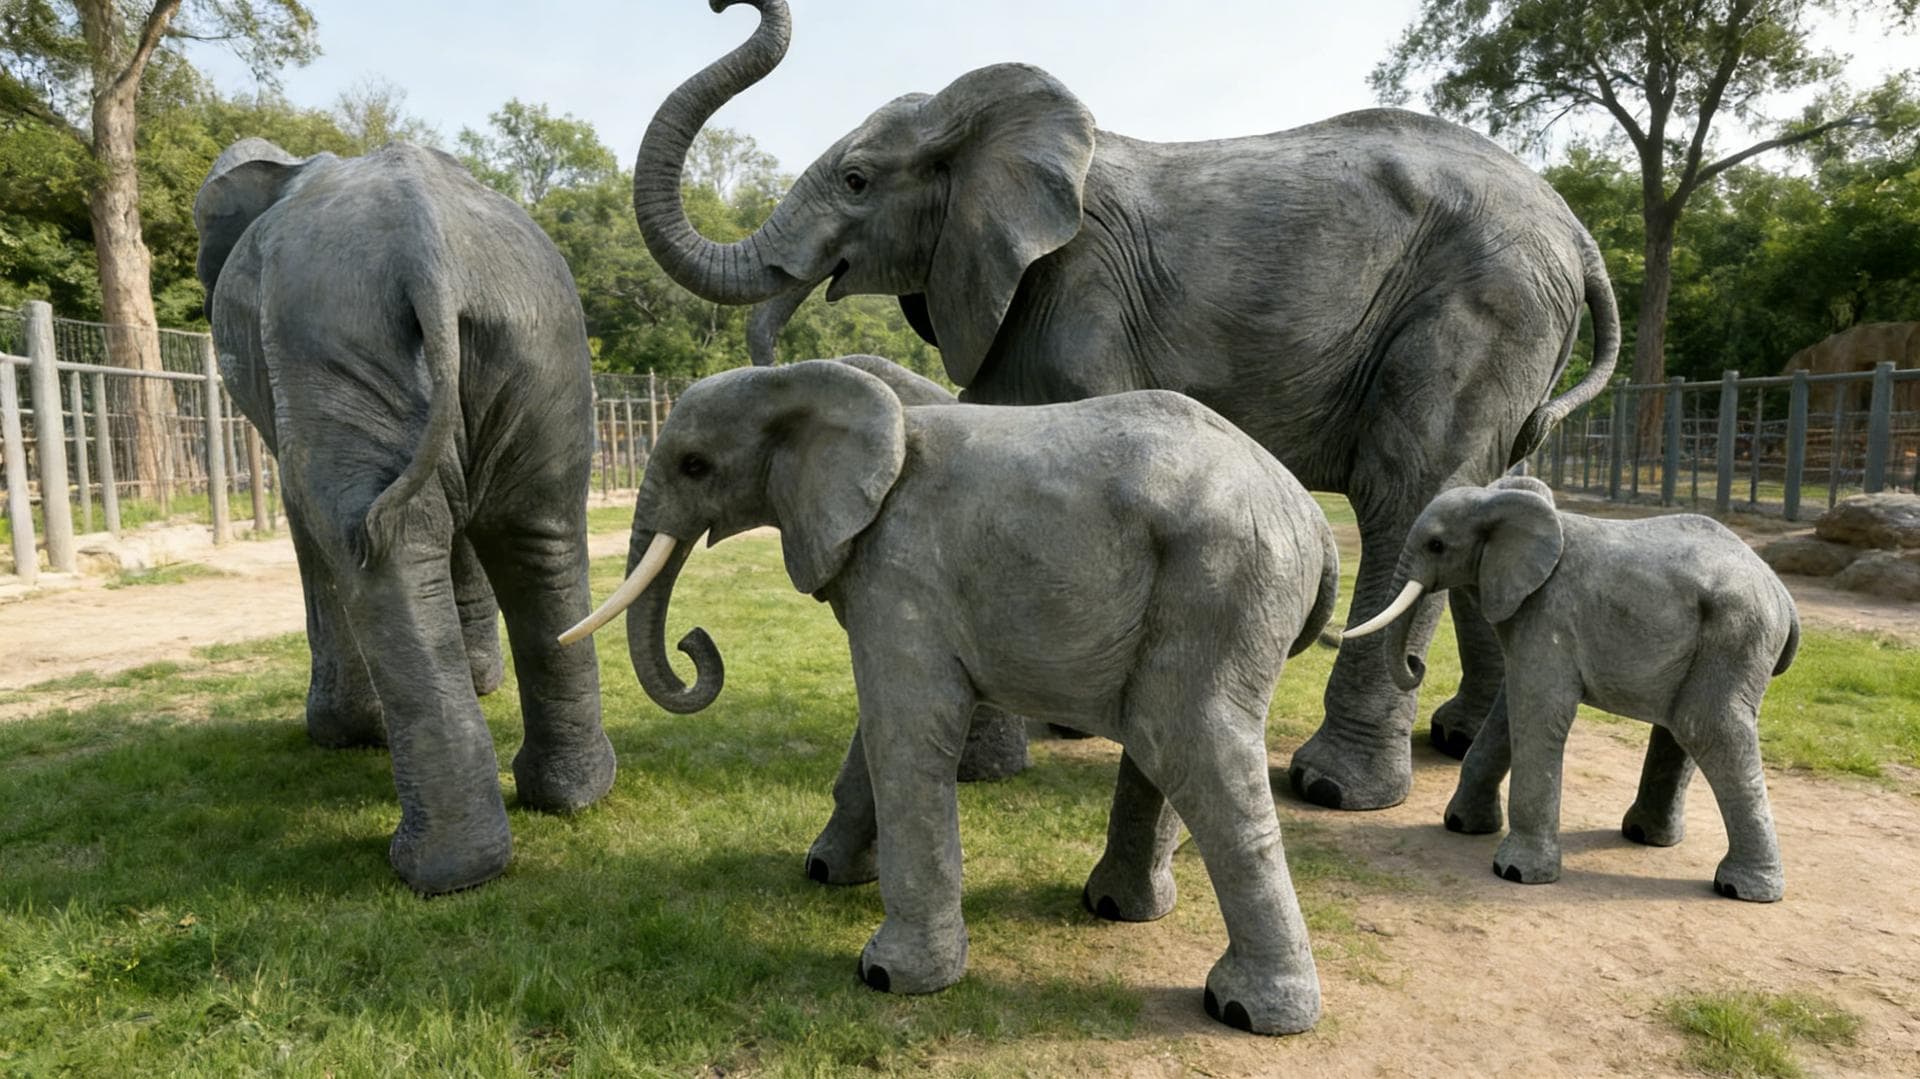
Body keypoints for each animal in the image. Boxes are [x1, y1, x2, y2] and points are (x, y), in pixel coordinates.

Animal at [194, 137, 616, 894]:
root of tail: (432, 248)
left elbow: (313, 528)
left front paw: (341, 735)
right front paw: (480, 684)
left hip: (334, 334)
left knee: (365, 542)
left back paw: (433, 867)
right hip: (543, 344)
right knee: (538, 532)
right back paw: (568, 796)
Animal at [559, 359, 1341, 1035]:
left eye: (695, 465)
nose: (695, 643)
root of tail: (1311, 516)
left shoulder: (900, 566)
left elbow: (907, 729)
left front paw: (887, 976)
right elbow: (878, 729)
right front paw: (825, 873)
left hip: (1224, 581)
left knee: (1192, 750)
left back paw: (1242, 1010)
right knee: (1167, 747)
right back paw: (1118, 909)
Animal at [626, 0, 1621, 812]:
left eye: (858, 181)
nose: (724, 3)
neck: (979, 128)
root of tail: (1576, 230)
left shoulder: (1081, 291)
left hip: (1483, 304)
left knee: (1406, 491)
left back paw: (1335, 788)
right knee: (1485, 488)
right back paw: (1455, 737)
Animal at [1343, 476, 1800, 902]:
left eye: (1436, 545)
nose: (1416, 664)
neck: (1499, 502)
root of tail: (1782, 594)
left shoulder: (1549, 612)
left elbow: (1538, 711)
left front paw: (1513, 872)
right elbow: (1508, 714)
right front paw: (1460, 826)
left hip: (1736, 635)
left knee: (1706, 729)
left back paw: (1739, 889)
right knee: (1680, 729)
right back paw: (1645, 836)